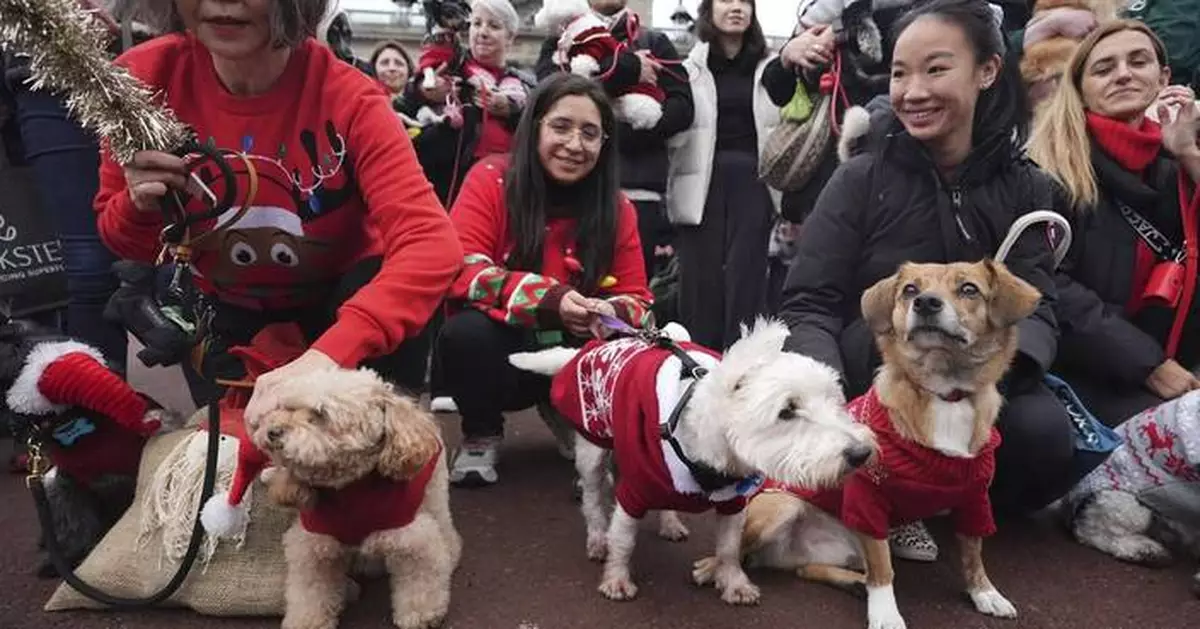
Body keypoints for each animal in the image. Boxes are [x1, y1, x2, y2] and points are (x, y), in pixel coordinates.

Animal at [201, 369, 453, 629]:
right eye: (288, 407)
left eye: (321, 414)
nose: (272, 431)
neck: (349, 490)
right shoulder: (313, 546)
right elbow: (311, 592)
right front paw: (308, 621)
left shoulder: (411, 540)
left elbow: (420, 581)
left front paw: (421, 614)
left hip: (434, 494)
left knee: (444, 526)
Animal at [535, 0, 667, 129]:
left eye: (545, 6)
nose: (536, 18)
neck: (576, 21)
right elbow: (564, 52)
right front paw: (557, 58)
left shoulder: (593, 47)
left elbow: (582, 64)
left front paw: (579, 75)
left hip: (636, 101)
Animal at [710, 260, 1041, 629]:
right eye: (910, 289)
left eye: (969, 289)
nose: (925, 302)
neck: (944, 393)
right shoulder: (868, 499)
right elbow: (884, 568)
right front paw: (885, 614)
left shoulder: (975, 497)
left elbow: (973, 551)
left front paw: (984, 592)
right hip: (783, 506)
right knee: (733, 551)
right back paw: (716, 572)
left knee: (807, 569)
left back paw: (854, 583)